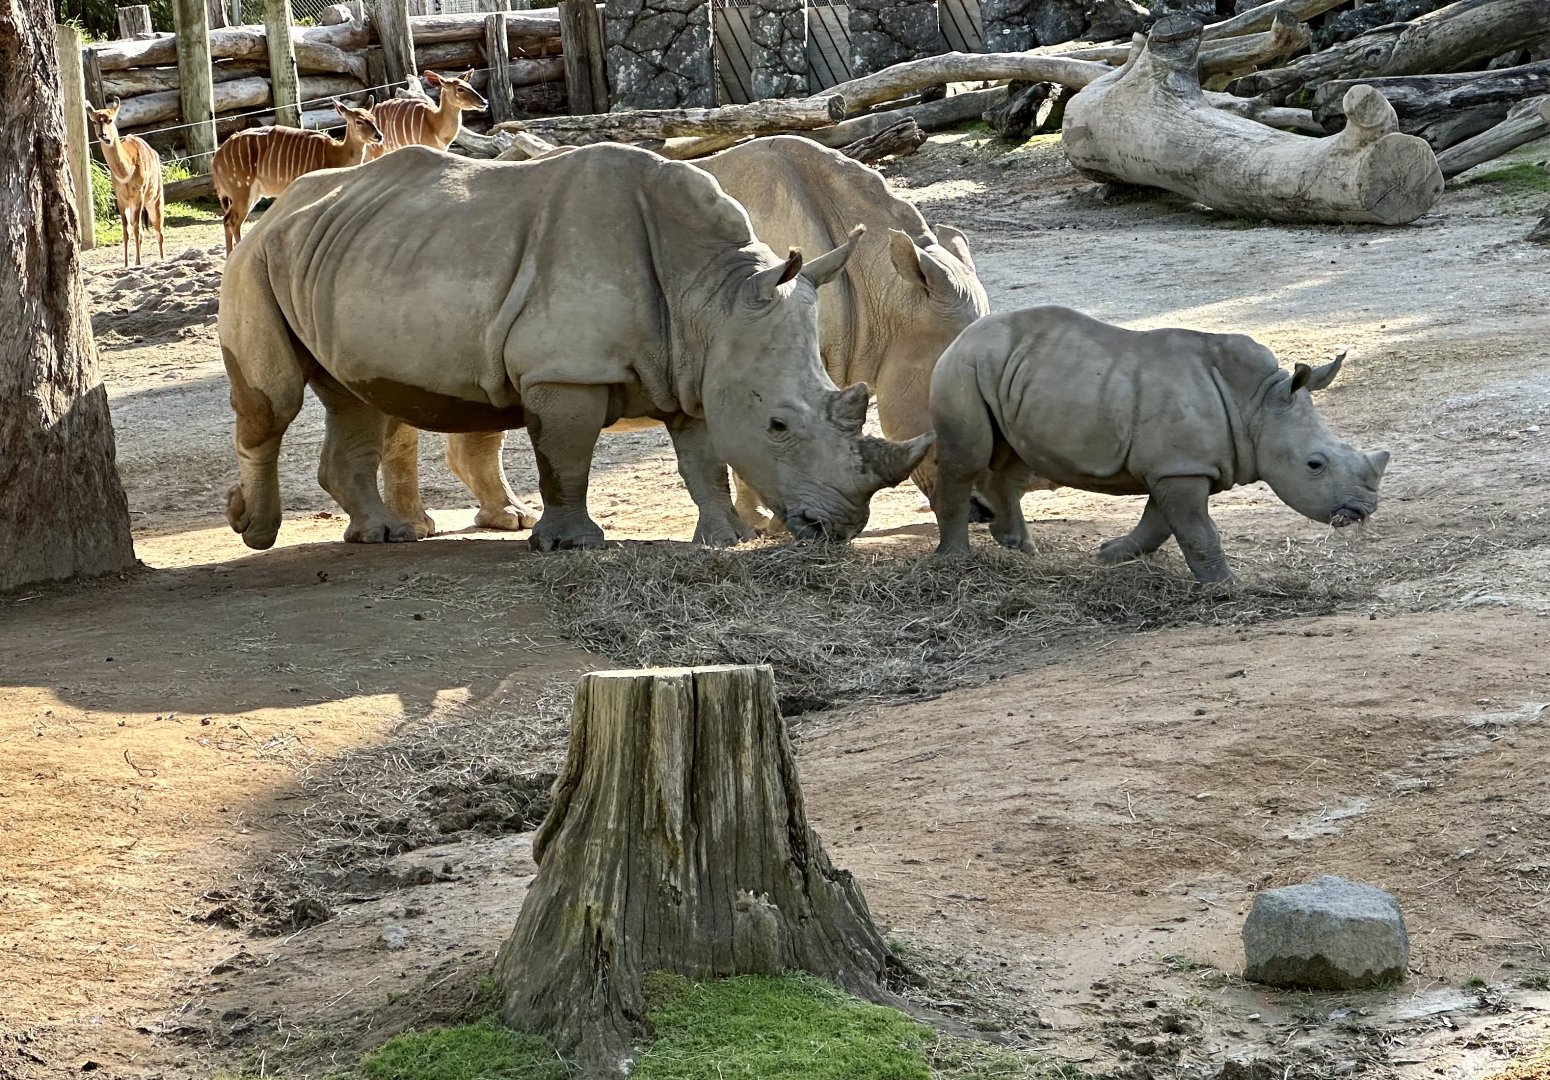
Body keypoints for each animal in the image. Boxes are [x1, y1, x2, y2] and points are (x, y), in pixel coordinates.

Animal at [218, 144, 933, 552]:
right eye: (779, 425)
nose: (842, 528)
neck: (712, 295)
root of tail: (281, 206)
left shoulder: (696, 366)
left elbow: (701, 457)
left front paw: (725, 541)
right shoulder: (564, 373)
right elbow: (566, 458)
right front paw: (571, 546)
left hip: (343, 253)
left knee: (352, 397)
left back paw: (380, 537)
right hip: (252, 259)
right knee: (274, 404)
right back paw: (256, 531)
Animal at [380, 135, 989, 538]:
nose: (982, 513)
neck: (890, 295)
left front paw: (755, 520)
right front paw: (763, 524)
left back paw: (505, 519)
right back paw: (415, 528)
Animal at [930, 306, 1390, 582]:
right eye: (1315, 465)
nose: (1363, 509)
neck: (1256, 403)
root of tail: (963, 335)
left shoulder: (1178, 465)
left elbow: (1160, 521)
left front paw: (1110, 554)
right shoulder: (1180, 468)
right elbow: (1196, 529)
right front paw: (1227, 586)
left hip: (1008, 375)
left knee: (1012, 457)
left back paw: (1019, 546)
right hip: (963, 367)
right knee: (966, 460)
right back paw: (954, 561)